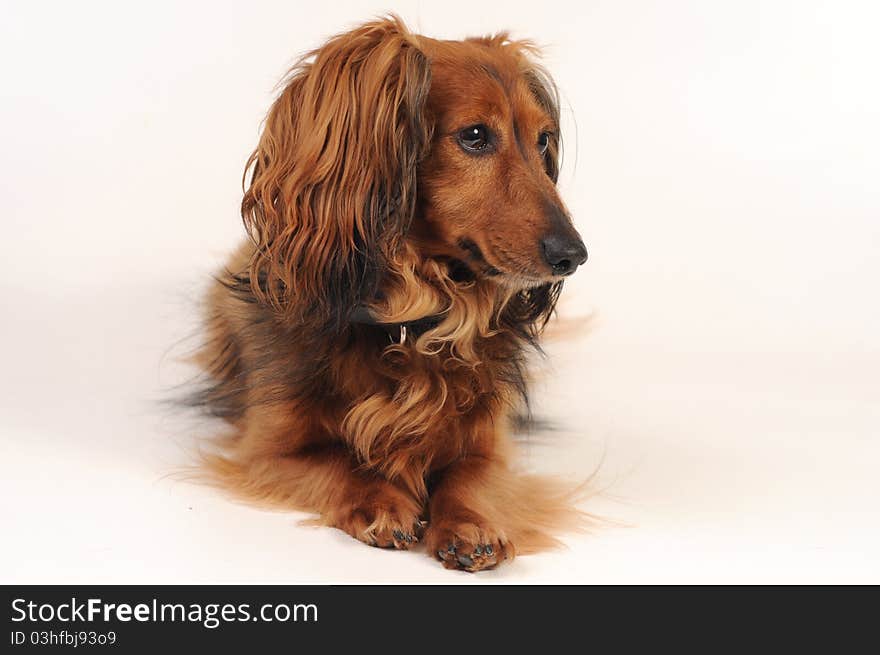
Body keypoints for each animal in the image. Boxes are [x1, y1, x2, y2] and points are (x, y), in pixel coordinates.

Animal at [193, 12, 592, 572]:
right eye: (475, 136)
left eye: (543, 140)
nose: (573, 256)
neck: (413, 320)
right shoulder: (269, 450)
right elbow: (341, 464)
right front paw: (381, 500)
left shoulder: (492, 449)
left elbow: (472, 477)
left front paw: (470, 524)